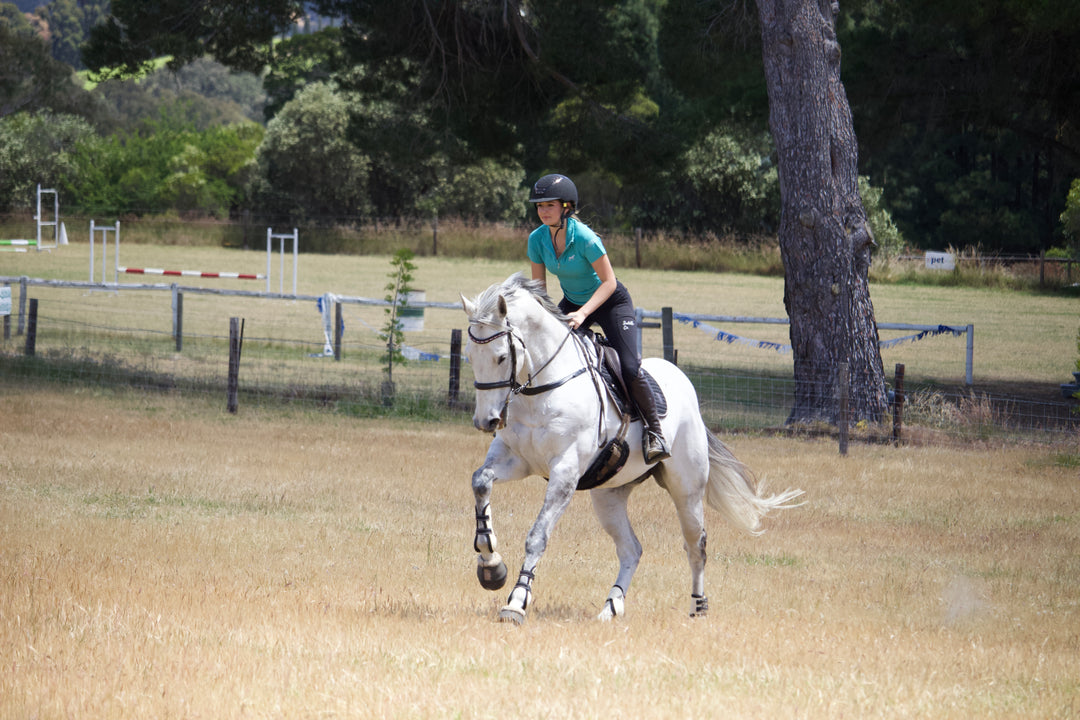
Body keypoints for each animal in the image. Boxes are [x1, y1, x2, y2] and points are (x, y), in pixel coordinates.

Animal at [455, 276, 803, 626]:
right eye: (469, 355)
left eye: (501, 357)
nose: (485, 421)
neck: (542, 389)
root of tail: (684, 383)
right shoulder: (517, 459)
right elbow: (480, 481)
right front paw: (491, 567)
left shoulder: (565, 472)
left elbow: (537, 536)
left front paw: (516, 602)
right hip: (609, 494)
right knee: (631, 548)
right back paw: (611, 606)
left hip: (687, 489)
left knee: (696, 544)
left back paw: (698, 606)